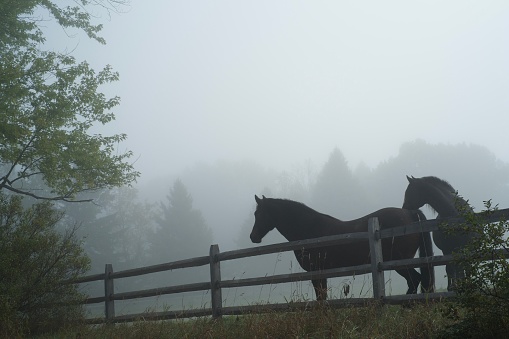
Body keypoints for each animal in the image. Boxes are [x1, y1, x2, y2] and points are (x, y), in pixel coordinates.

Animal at [250, 195, 432, 302]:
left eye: (258, 214)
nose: (253, 236)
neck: (309, 229)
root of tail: (410, 213)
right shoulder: (322, 273)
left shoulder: (316, 272)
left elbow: (321, 297)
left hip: (400, 262)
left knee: (414, 280)